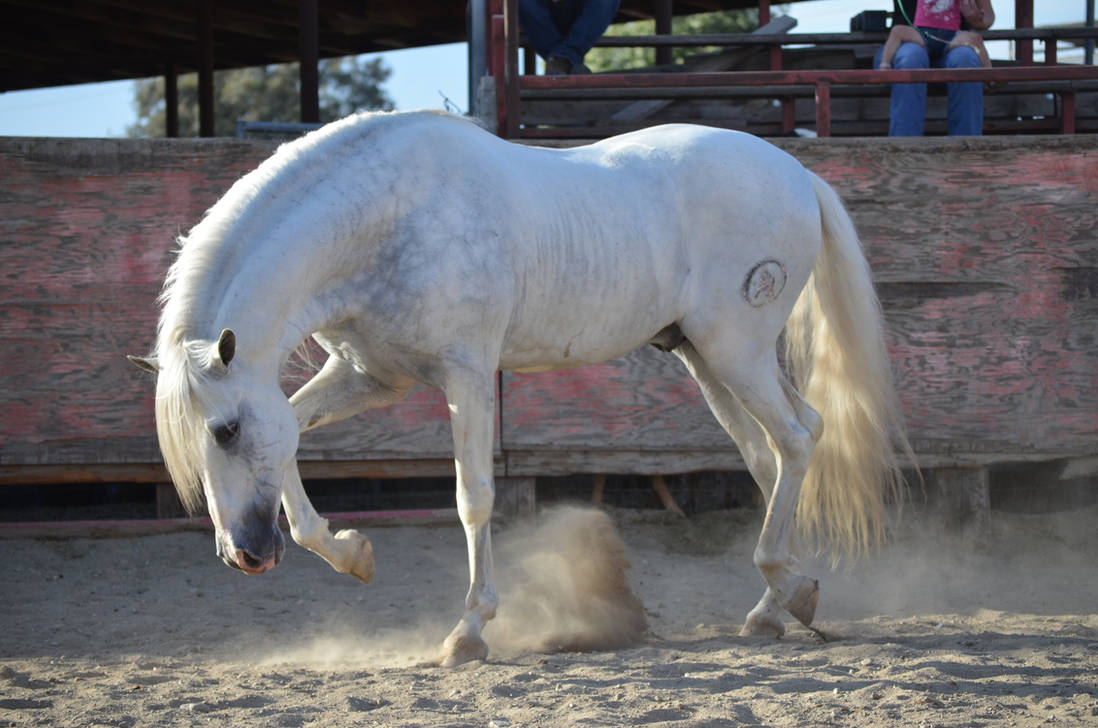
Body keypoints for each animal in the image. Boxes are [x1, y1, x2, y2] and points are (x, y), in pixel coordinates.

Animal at [129, 110, 911, 667]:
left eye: (226, 429)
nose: (244, 556)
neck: (385, 217)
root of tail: (796, 172)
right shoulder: (368, 378)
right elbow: (292, 444)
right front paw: (353, 554)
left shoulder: (467, 375)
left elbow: (473, 498)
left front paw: (468, 633)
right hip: (707, 358)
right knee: (773, 451)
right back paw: (781, 603)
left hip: (735, 349)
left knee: (798, 438)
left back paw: (783, 593)